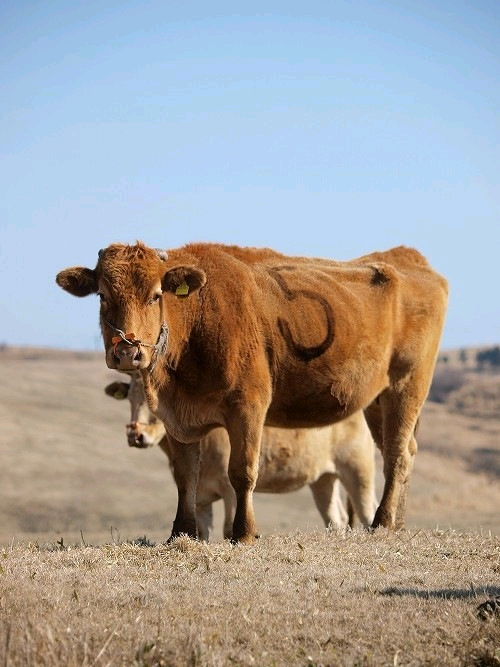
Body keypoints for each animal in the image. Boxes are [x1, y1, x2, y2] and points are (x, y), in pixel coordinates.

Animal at [106, 376, 378, 544]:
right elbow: (202, 532)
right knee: (335, 518)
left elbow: (228, 529)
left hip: (358, 469)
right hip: (323, 479)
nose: (136, 435)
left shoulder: (229, 489)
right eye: (130, 398)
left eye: (155, 403)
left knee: (367, 512)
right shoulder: (200, 496)